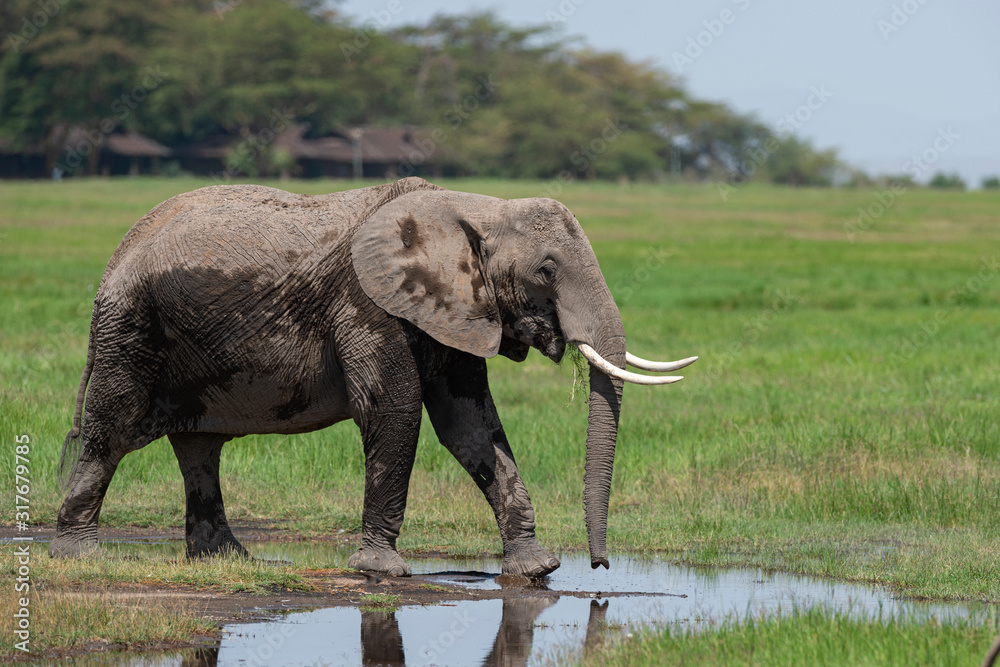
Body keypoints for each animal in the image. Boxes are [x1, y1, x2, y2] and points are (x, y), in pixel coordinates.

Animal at [49, 177, 696, 577]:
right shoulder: (368, 302)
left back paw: (231, 563)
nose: (601, 566)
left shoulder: (455, 308)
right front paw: (381, 572)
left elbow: (470, 425)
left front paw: (535, 570)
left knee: (199, 446)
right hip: (130, 330)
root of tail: (116, 254)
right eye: (547, 269)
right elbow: (394, 410)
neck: (474, 207)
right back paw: (79, 556)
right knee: (109, 431)